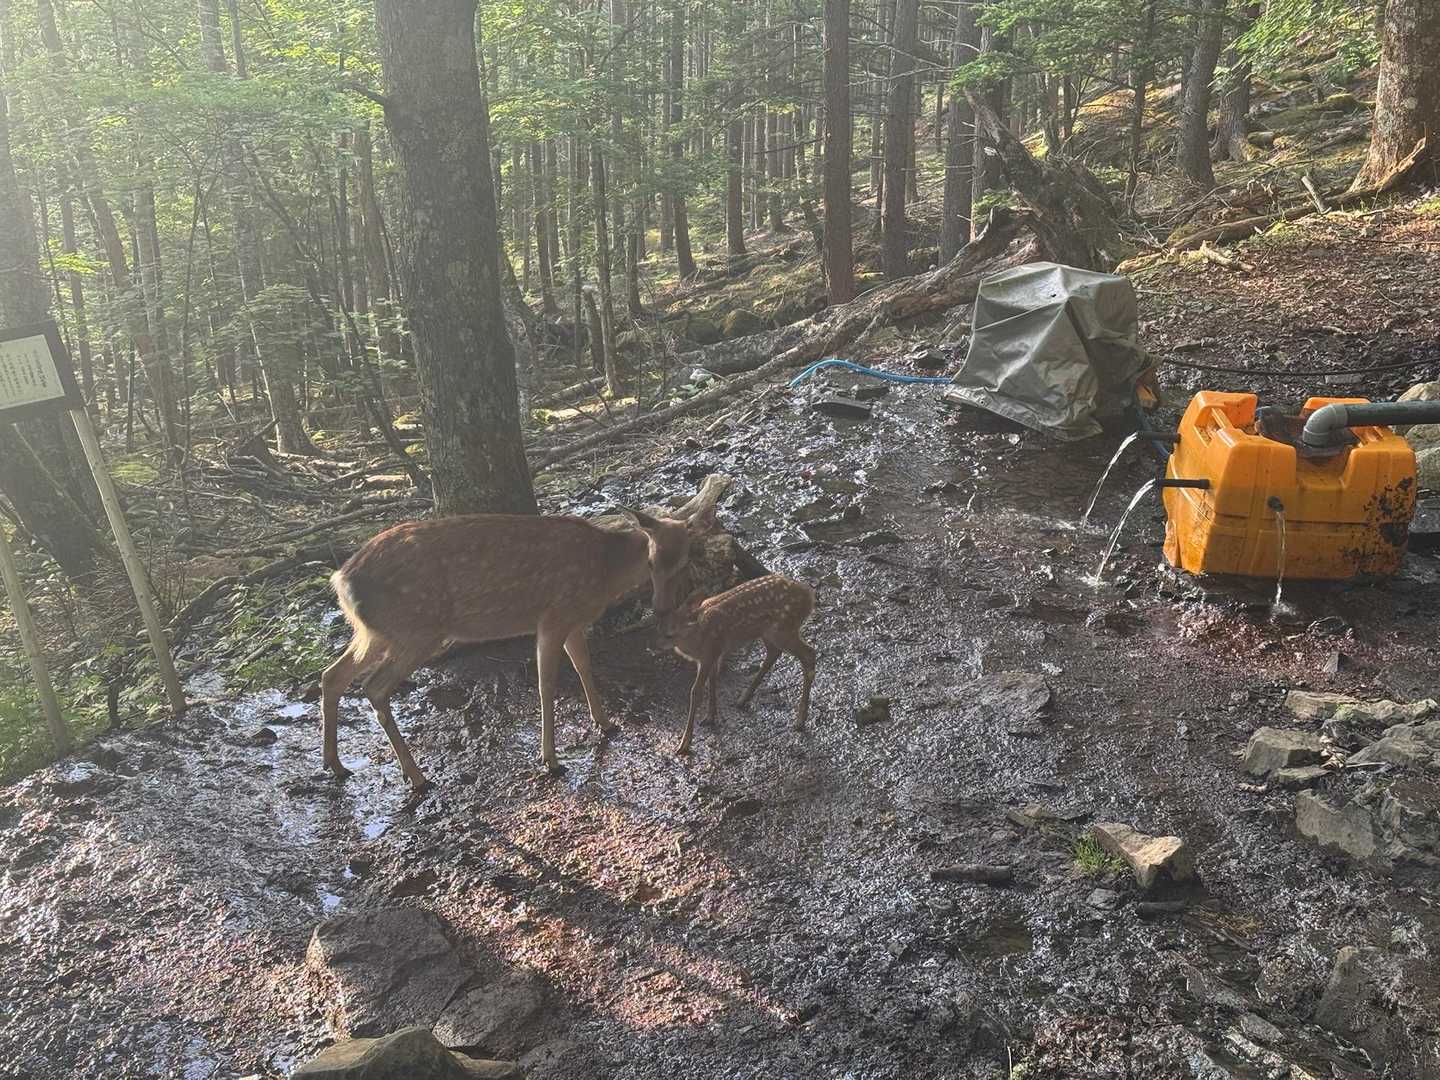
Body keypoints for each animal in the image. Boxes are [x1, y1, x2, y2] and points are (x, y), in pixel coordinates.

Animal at [320, 506, 715, 788]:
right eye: (650, 561)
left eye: (683, 561)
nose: (661, 608)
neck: (604, 573)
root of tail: (341, 579)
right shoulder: (554, 615)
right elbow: (546, 683)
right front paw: (550, 759)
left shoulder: (573, 620)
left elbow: (584, 666)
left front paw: (605, 723)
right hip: (417, 629)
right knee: (374, 686)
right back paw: (417, 777)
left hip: (375, 632)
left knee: (332, 674)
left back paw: (336, 765)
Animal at [659, 573, 817, 754]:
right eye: (659, 628)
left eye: (669, 634)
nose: (655, 645)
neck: (697, 634)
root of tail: (809, 596)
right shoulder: (715, 654)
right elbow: (713, 681)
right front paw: (710, 717)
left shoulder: (708, 655)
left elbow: (696, 691)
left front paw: (684, 744)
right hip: (769, 632)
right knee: (774, 653)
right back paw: (743, 699)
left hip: (784, 629)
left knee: (809, 654)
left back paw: (800, 721)